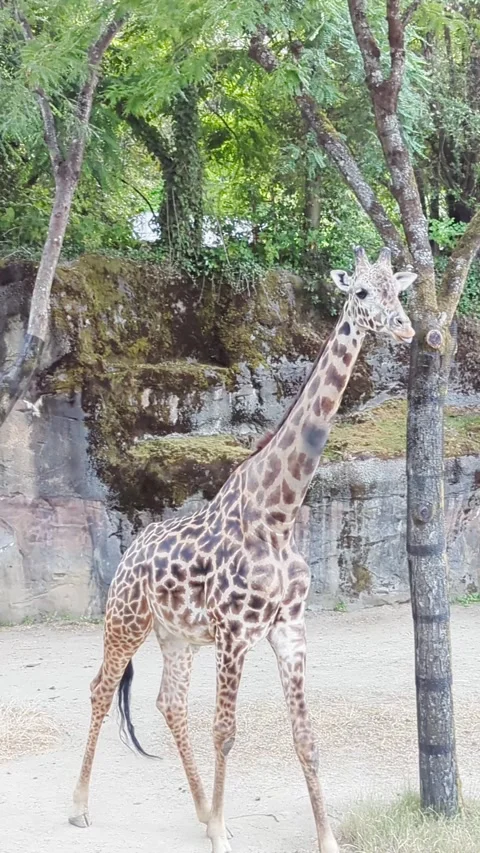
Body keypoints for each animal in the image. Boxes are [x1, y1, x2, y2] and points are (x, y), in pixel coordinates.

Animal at [69, 246, 416, 853]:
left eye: (398, 292)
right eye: (361, 293)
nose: (407, 328)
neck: (279, 515)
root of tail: (129, 553)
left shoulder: (290, 628)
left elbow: (305, 737)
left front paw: (324, 839)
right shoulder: (234, 632)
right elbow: (226, 732)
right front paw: (222, 838)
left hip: (177, 635)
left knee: (169, 702)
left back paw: (204, 810)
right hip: (125, 620)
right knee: (100, 689)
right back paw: (83, 807)